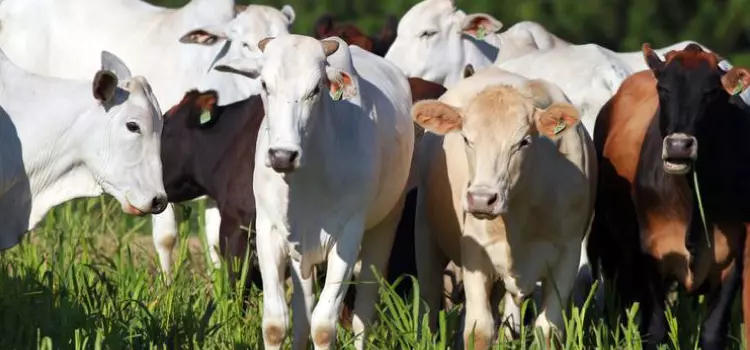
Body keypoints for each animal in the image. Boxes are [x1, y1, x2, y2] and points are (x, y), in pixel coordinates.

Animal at [214, 36, 414, 350]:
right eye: (264, 85)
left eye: (316, 88)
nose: (283, 155)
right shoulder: (269, 231)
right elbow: (276, 324)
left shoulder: (347, 237)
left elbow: (323, 326)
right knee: (302, 314)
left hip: (385, 225)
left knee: (362, 316)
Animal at [414, 82, 596, 348]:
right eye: (466, 138)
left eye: (523, 142)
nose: (481, 199)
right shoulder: (475, 254)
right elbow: (479, 329)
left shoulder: (568, 255)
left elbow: (548, 330)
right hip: (425, 234)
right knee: (428, 299)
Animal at [592, 44, 750, 350]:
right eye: (663, 89)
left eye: (711, 92)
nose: (679, 146)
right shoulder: (652, 255)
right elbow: (655, 330)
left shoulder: (733, 258)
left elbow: (712, 333)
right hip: (608, 243)